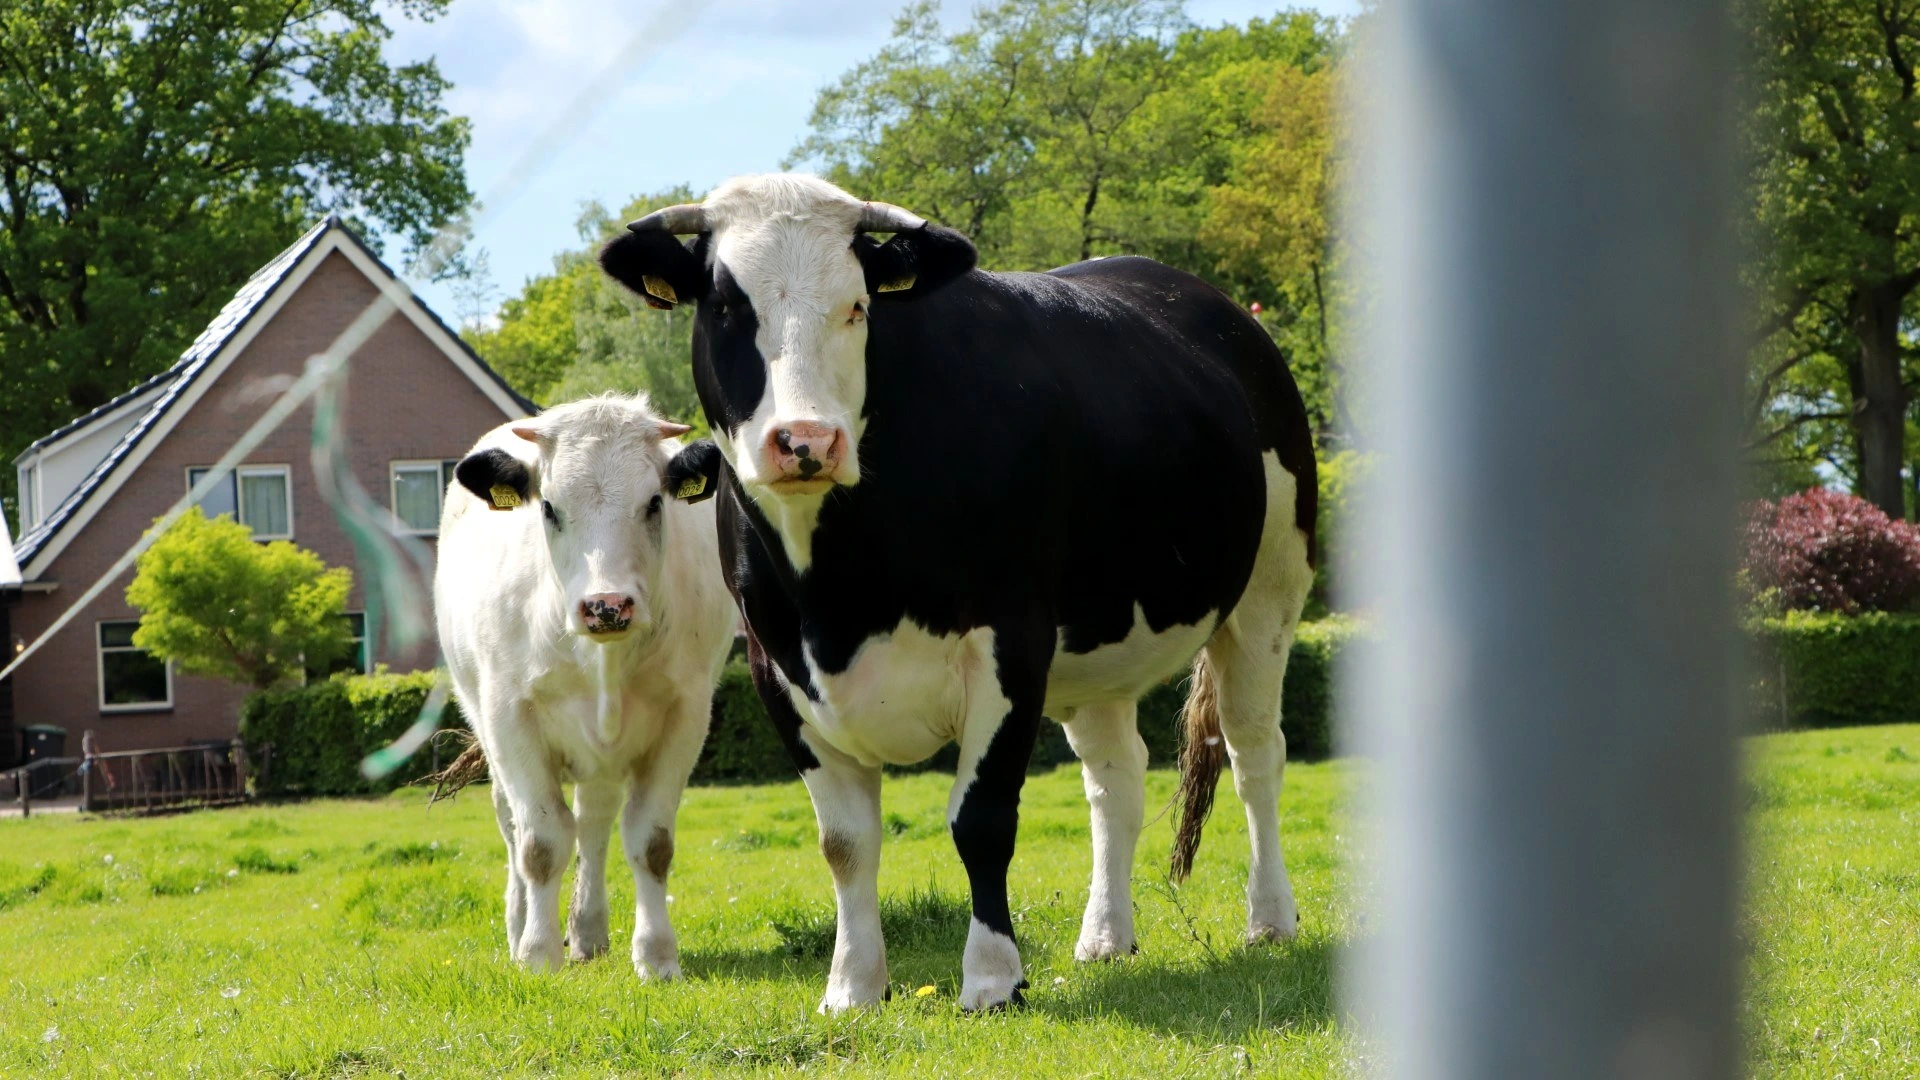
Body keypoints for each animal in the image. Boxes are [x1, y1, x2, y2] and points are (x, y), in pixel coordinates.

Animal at [435, 395, 737, 977]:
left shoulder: (686, 716)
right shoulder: (510, 718)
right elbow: (540, 844)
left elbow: (650, 841)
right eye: (549, 508)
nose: (606, 605)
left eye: (654, 503)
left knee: (594, 825)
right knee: (514, 827)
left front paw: (656, 956)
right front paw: (536, 954)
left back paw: (589, 931)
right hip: (489, 731)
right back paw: (519, 928)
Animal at [600, 174, 1317, 1012]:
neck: (837, 596)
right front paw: (853, 985)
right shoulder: (775, 667)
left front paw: (993, 978)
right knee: (1116, 776)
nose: (806, 441)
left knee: (1253, 751)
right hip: (1097, 644)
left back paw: (1269, 918)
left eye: (858, 305)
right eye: (723, 308)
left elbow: (981, 820)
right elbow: (845, 842)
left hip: (1269, 590)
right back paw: (1106, 936)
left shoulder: (1010, 641)